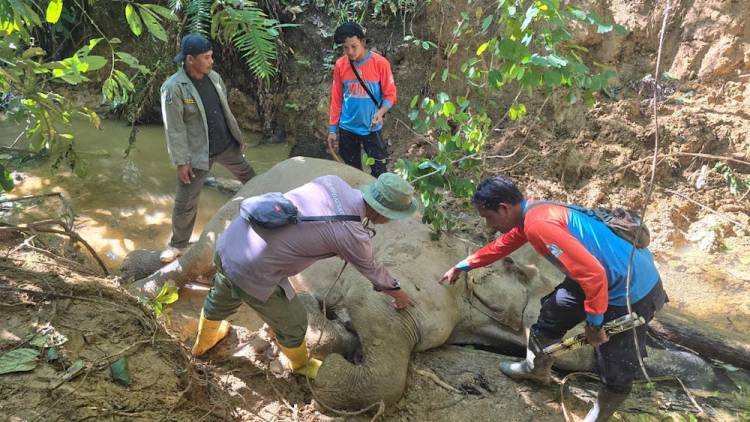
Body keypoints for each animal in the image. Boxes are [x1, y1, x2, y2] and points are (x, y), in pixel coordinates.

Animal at [126, 157, 736, 410]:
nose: (707, 372)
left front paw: (328, 340)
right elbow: (385, 318)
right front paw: (326, 369)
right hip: (240, 212)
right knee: (201, 259)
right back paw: (142, 288)